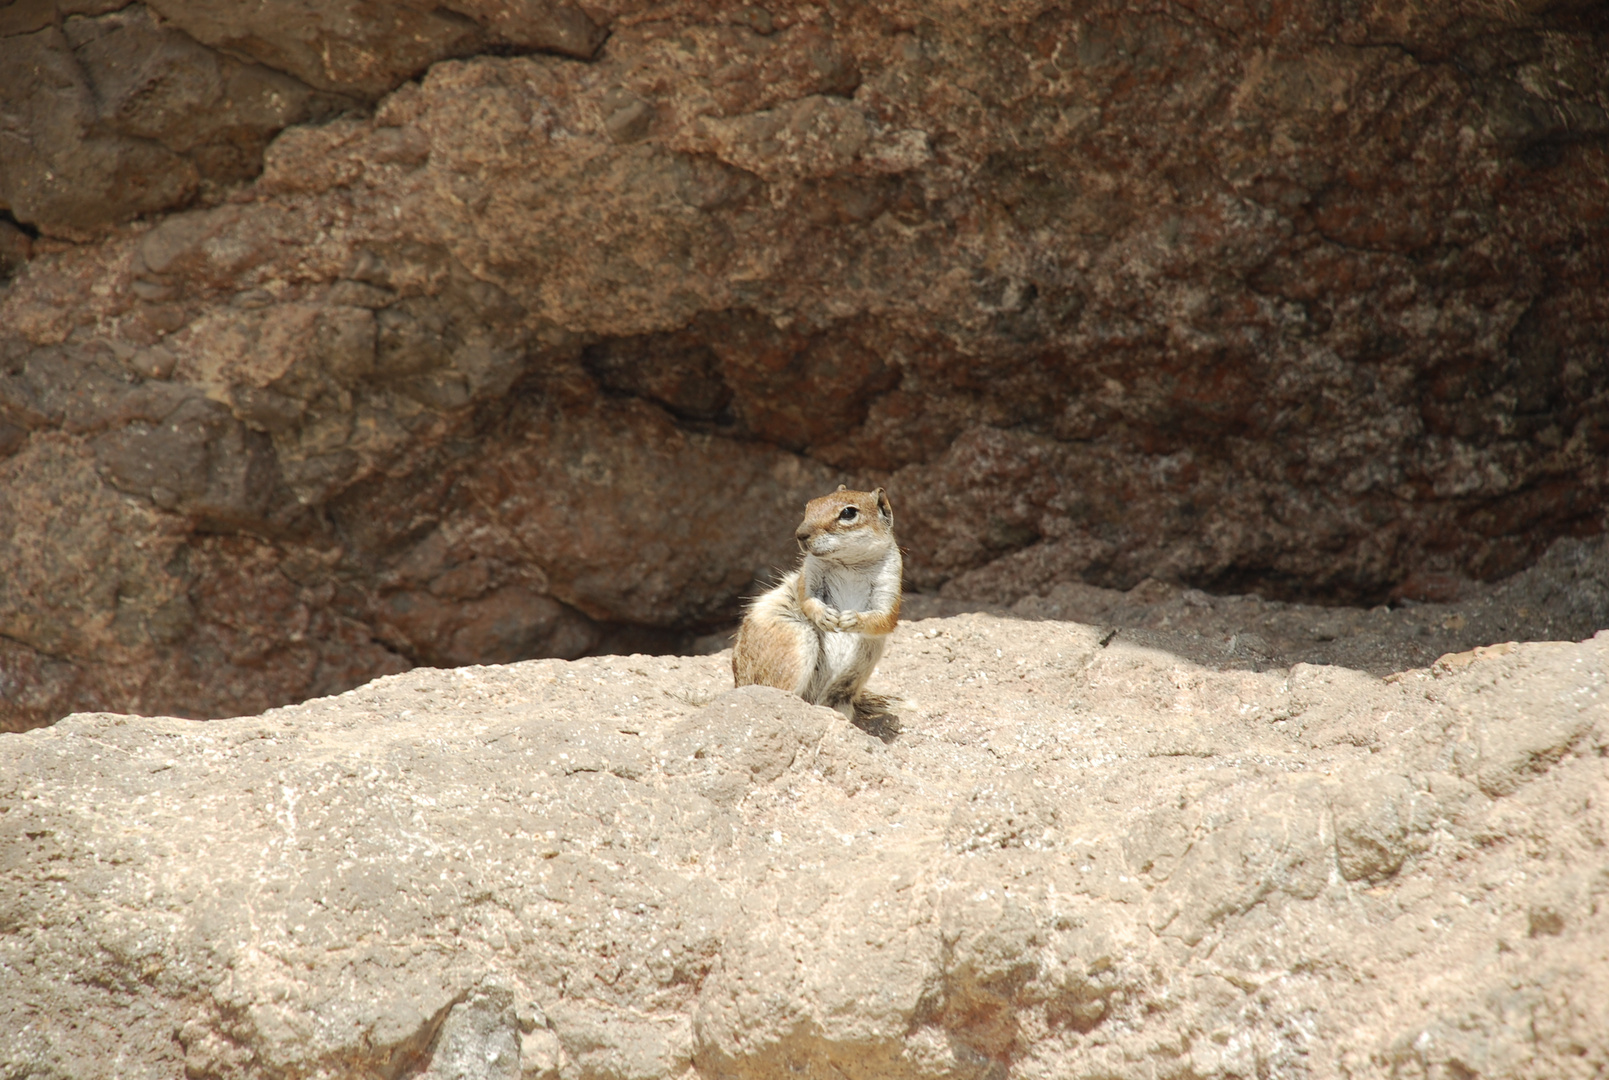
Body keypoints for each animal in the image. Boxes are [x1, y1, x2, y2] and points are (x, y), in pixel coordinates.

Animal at [733, 486, 901, 721]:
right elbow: (807, 600)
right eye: (810, 505)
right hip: (797, 636)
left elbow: (884, 618)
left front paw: (852, 619)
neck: (850, 564)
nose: (800, 534)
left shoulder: (890, 584)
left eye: (849, 512)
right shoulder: (809, 575)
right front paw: (825, 615)